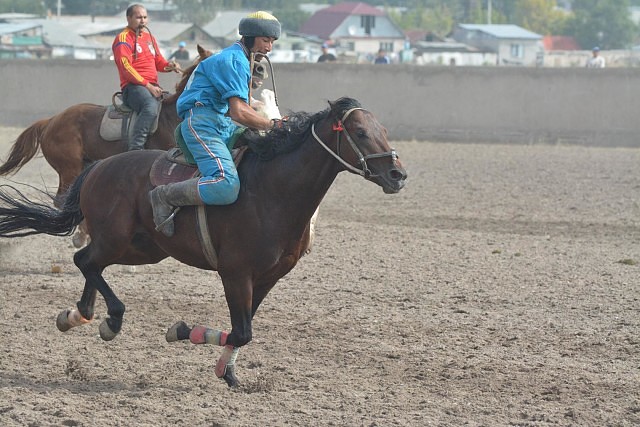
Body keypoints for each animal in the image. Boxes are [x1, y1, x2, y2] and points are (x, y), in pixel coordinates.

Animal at [0, 97, 408, 388]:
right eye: (359, 132)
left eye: (384, 129)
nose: (397, 174)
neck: (273, 192)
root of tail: (99, 167)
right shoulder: (235, 272)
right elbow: (242, 330)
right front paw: (181, 331)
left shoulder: (267, 277)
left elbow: (245, 330)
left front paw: (228, 372)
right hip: (117, 238)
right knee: (86, 261)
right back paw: (111, 317)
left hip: (142, 248)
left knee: (91, 263)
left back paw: (80, 315)